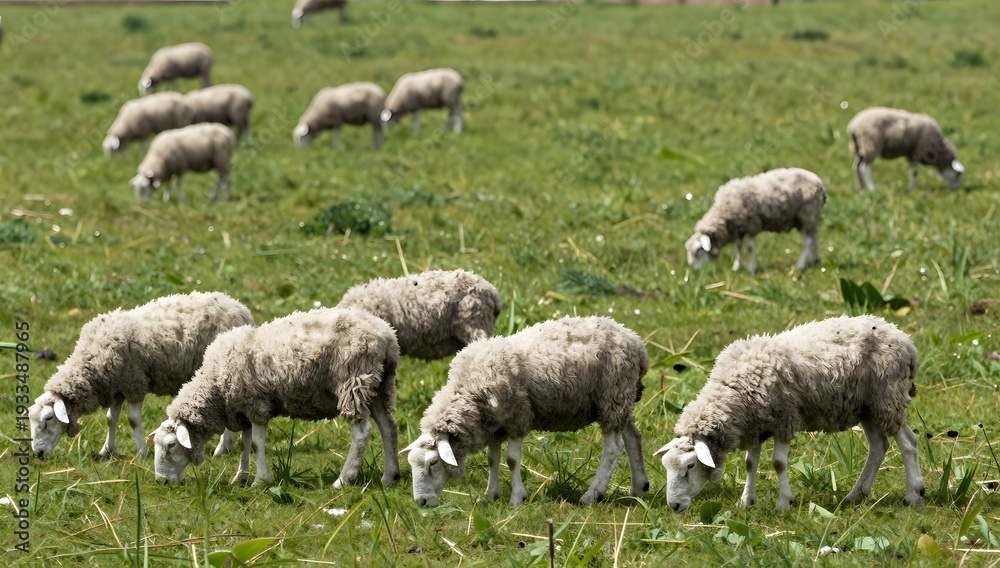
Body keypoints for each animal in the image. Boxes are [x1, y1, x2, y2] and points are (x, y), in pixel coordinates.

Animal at [27, 292, 252, 460]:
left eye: (48, 419)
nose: (38, 454)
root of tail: (240, 309)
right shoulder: (117, 387)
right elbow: (110, 419)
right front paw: (106, 450)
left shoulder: (135, 383)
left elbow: (133, 420)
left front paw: (141, 452)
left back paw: (223, 448)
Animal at [150, 307, 400, 489]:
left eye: (171, 445)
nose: (161, 481)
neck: (214, 386)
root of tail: (387, 336)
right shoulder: (243, 410)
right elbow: (245, 443)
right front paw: (240, 478)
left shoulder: (257, 405)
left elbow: (256, 444)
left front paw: (260, 480)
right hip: (378, 386)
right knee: (388, 426)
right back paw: (390, 476)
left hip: (353, 382)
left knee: (362, 432)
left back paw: (344, 479)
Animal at [400, 316, 650, 507]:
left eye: (433, 463)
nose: (421, 502)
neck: (469, 389)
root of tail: (636, 342)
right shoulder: (494, 424)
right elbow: (492, 459)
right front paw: (490, 494)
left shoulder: (517, 417)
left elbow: (511, 460)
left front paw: (517, 498)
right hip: (618, 402)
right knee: (633, 437)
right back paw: (639, 486)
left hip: (612, 395)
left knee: (613, 448)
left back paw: (592, 494)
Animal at [654, 314, 925, 513]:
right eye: (666, 465)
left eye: (690, 466)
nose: (674, 506)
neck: (735, 391)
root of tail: (905, 339)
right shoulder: (756, 425)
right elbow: (750, 463)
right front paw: (746, 500)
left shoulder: (785, 419)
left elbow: (778, 463)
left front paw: (785, 503)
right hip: (868, 407)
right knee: (879, 446)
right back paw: (856, 494)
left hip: (887, 398)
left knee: (908, 443)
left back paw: (914, 493)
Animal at [685, 168, 825, 276]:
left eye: (698, 252)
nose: (695, 271)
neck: (724, 212)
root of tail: (819, 182)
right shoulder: (739, 228)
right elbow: (738, 246)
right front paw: (737, 266)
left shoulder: (752, 225)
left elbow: (750, 247)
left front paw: (752, 269)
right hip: (811, 217)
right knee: (815, 237)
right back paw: (815, 259)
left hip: (807, 215)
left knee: (807, 241)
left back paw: (800, 265)